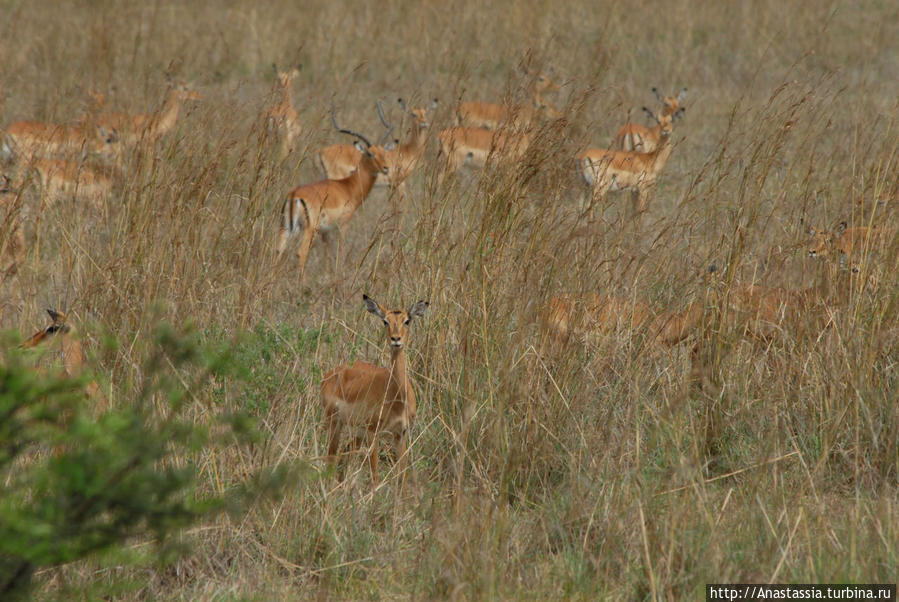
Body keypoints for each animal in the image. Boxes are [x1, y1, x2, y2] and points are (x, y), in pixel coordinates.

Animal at [276, 106, 392, 278]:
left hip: (287, 228)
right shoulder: (343, 224)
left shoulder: (326, 232)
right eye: (370, 153)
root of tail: (294, 195)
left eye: (384, 152)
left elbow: (327, 251)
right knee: (301, 253)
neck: (348, 186)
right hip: (309, 230)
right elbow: (341, 249)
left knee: (278, 250)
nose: (386, 168)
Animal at [322, 292, 430, 486]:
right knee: (331, 458)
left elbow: (402, 476)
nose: (396, 339)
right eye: (385, 321)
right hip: (335, 424)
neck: (397, 396)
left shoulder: (401, 433)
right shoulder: (374, 433)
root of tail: (331, 374)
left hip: (357, 432)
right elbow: (375, 478)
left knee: (343, 455)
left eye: (407, 320)